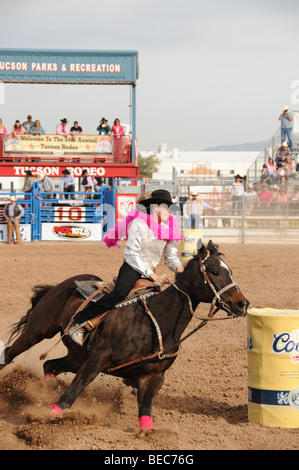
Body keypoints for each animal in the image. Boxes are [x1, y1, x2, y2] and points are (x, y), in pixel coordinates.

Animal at [0, 242, 248, 430]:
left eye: (231, 271)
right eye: (214, 271)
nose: (242, 303)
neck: (155, 322)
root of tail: (64, 283)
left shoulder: (154, 376)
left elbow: (145, 410)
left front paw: (151, 434)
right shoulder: (98, 357)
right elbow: (75, 389)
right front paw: (49, 415)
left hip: (76, 357)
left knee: (49, 365)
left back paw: (44, 390)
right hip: (37, 331)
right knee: (10, 353)